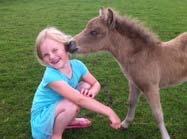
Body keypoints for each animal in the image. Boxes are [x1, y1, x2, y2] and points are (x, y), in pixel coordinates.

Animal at [72, 7, 186, 139]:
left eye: (94, 32)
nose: (69, 44)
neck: (142, 56)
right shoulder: (133, 83)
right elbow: (131, 103)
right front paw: (125, 124)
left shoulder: (151, 87)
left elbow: (157, 114)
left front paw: (166, 136)